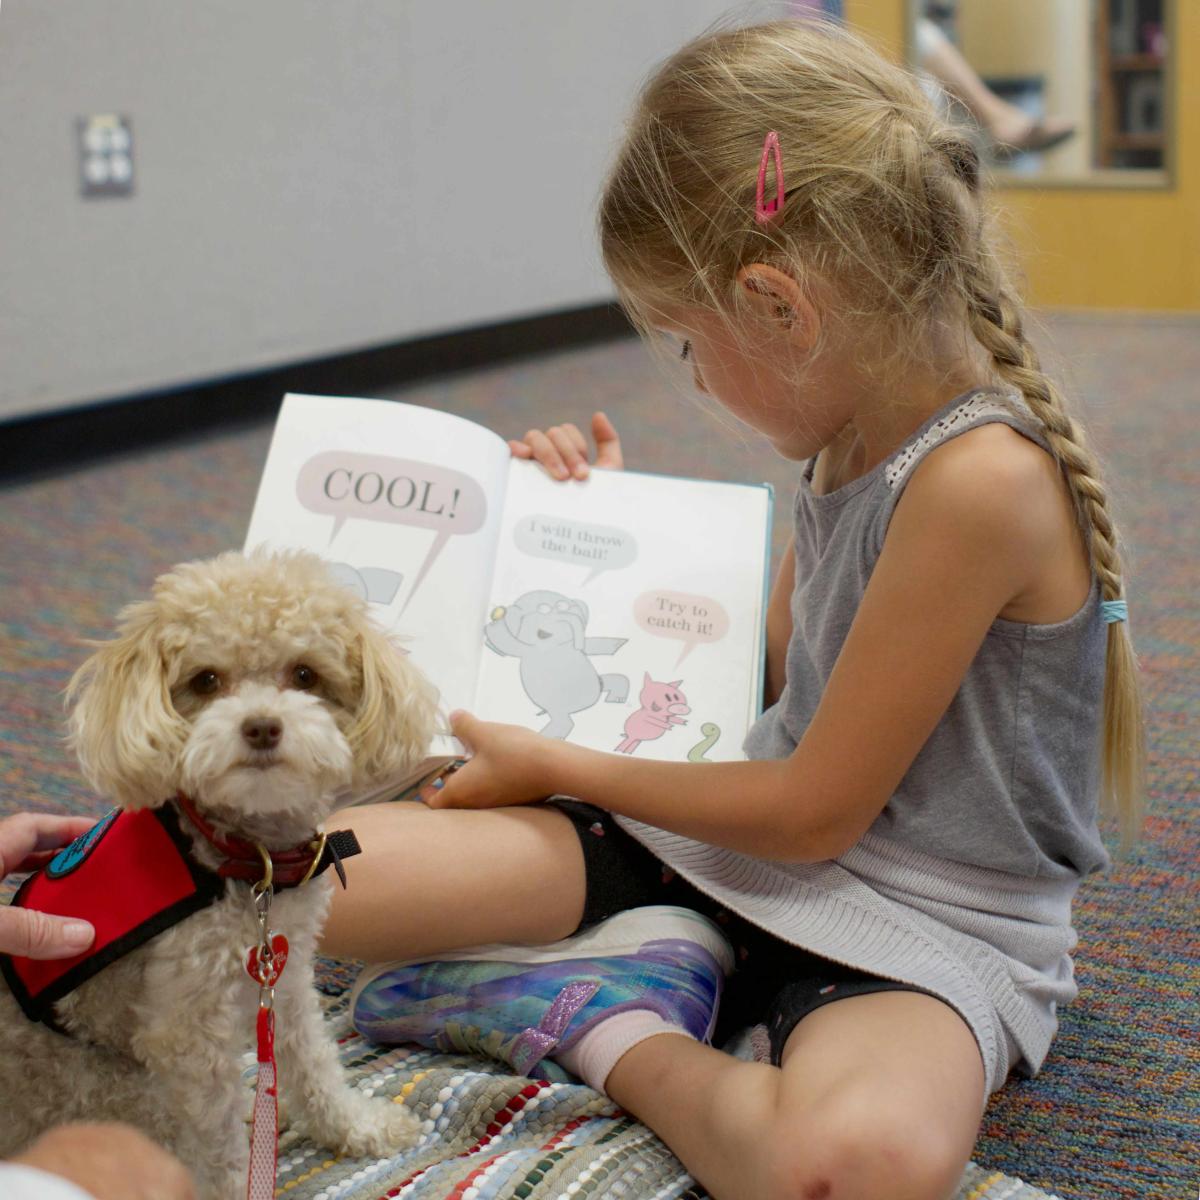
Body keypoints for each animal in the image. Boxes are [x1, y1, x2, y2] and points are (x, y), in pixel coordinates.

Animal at [0, 549, 439, 1195]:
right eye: (205, 680)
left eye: (305, 675)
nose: (260, 726)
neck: (247, 862)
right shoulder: (188, 1035)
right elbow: (222, 1142)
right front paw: (241, 1180)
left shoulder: (286, 978)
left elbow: (314, 1061)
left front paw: (355, 1126)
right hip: (118, 1091)